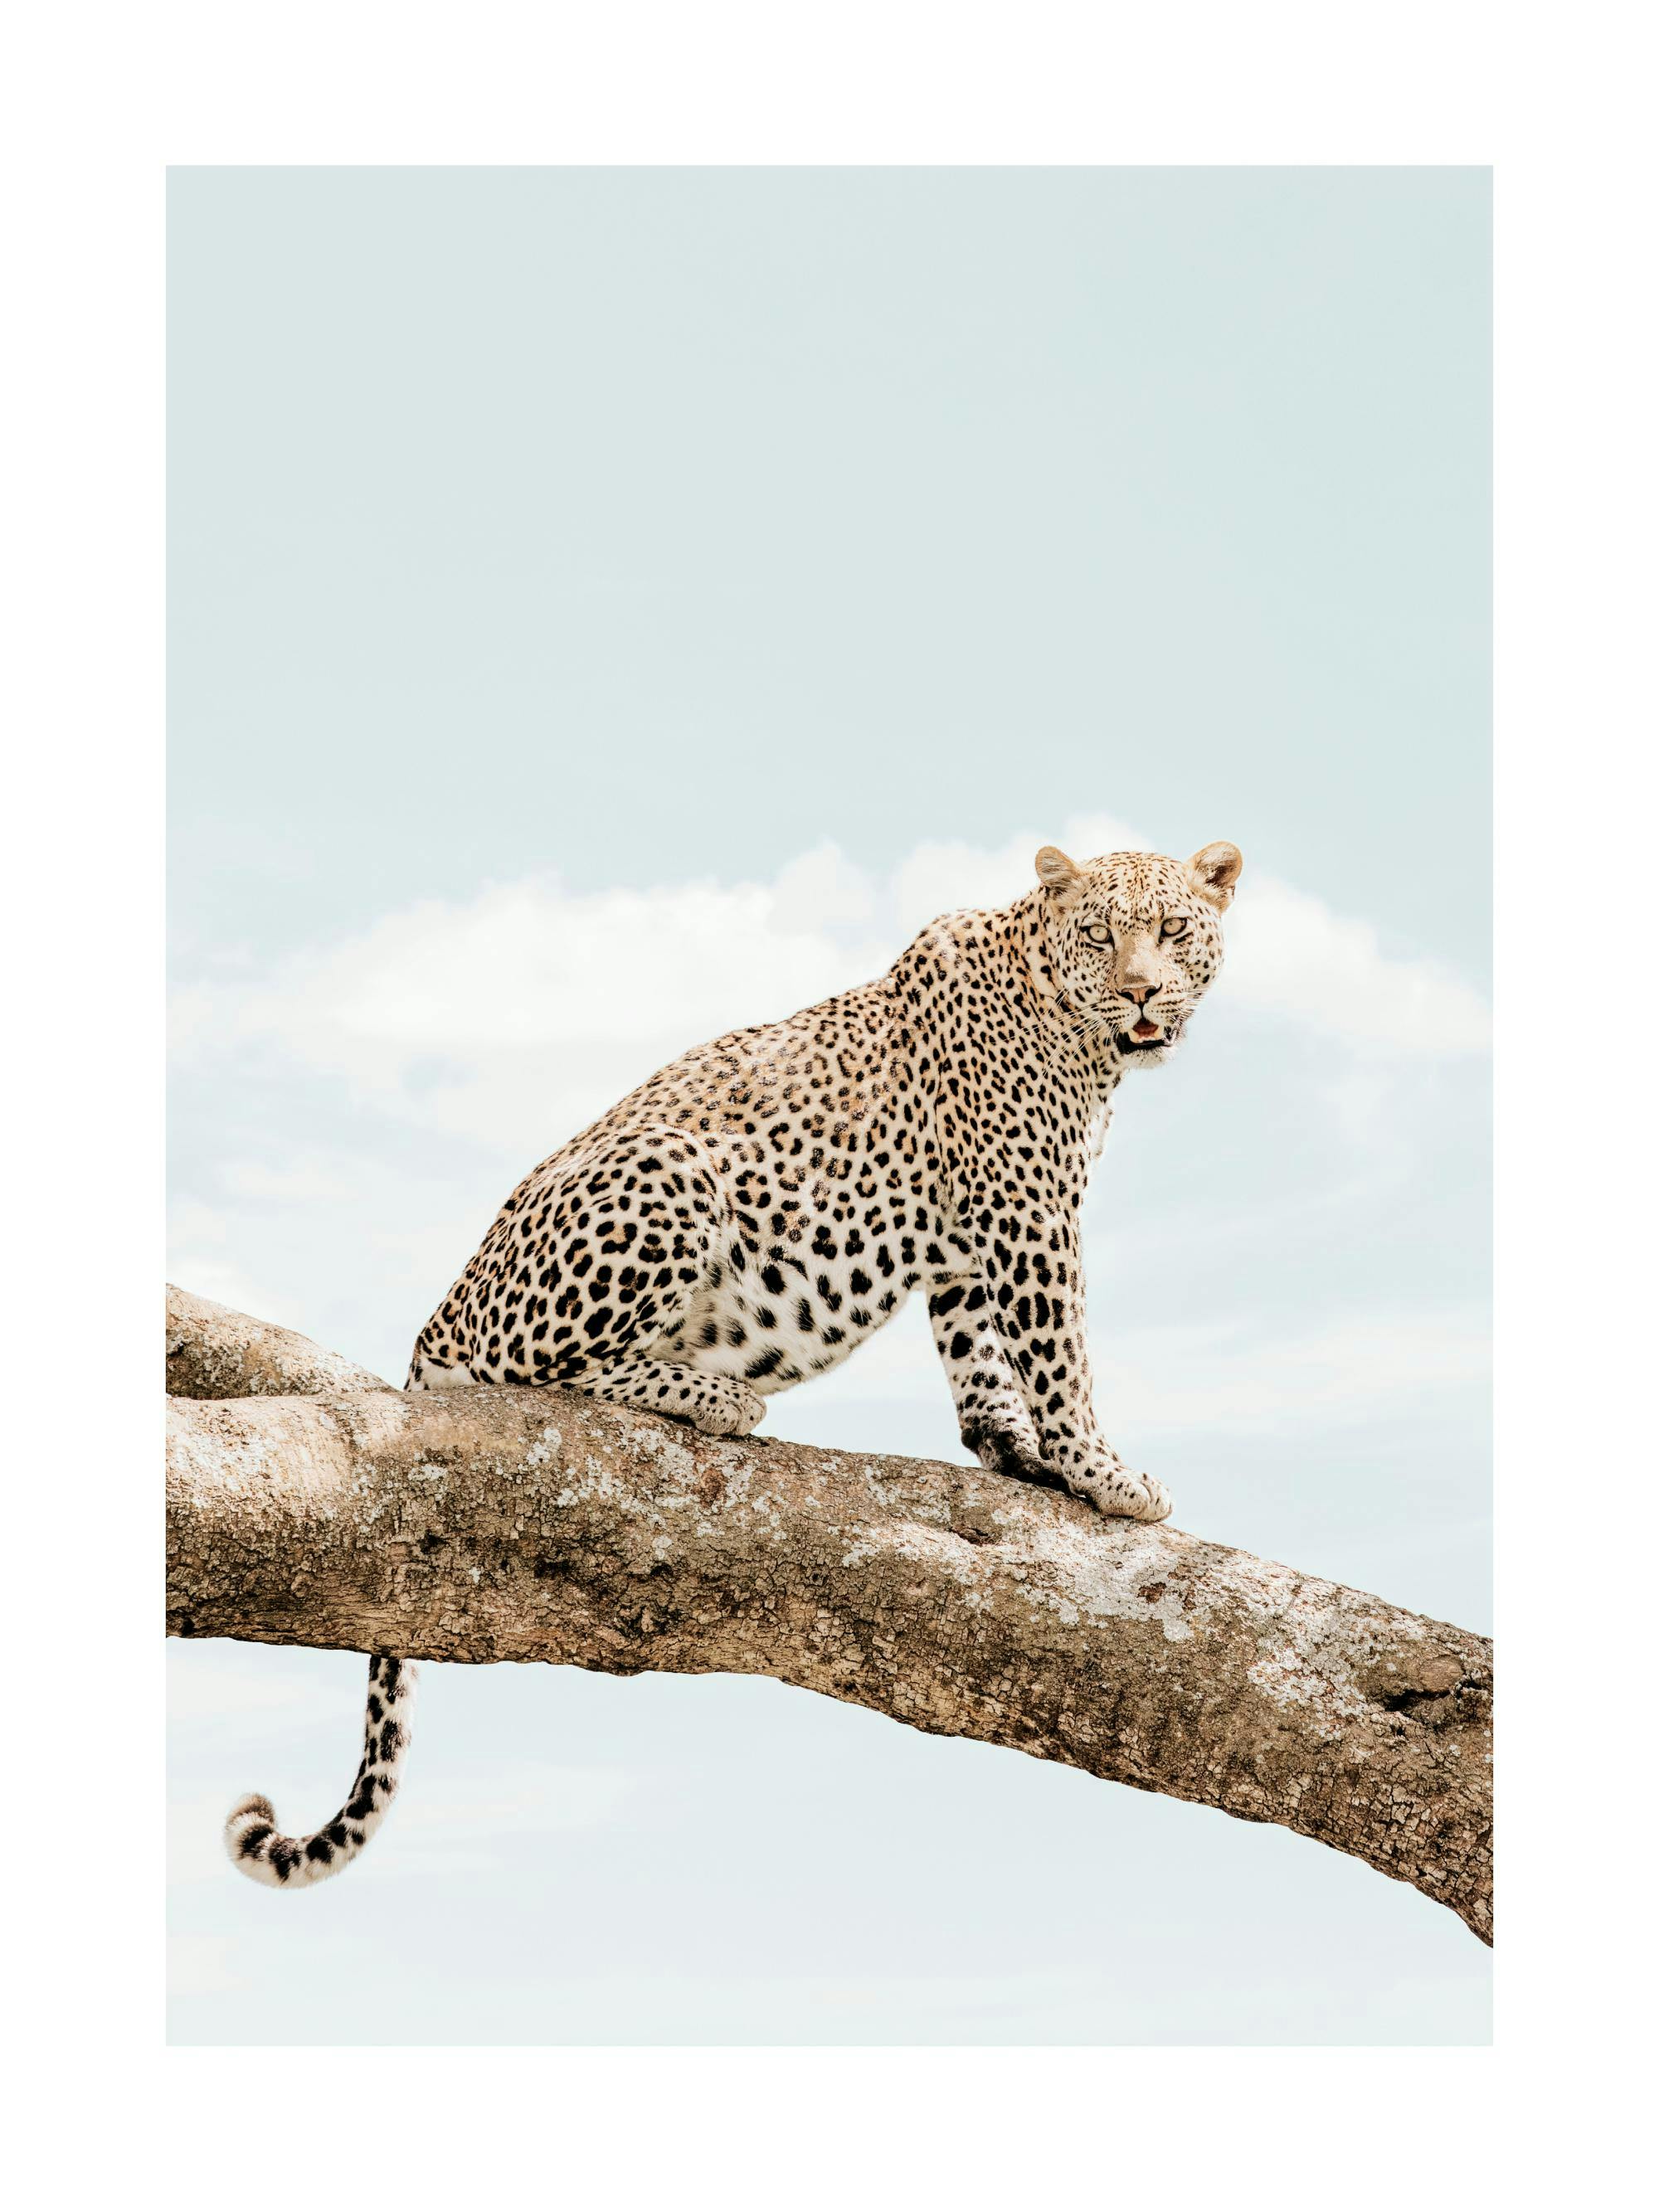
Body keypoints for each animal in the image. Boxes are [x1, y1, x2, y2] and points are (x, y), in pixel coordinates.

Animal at [225, 837, 1243, 1887]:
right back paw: (714, 1395)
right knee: (542, 1364)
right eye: (1099, 935)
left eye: (1170, 930)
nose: (1138, 991)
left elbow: (978, 1362)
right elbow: (1058, 1350)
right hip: (668, 1172)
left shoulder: (969, 1241)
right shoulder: (1028, 1215)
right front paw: (1104, 1472)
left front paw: (1017, 1454)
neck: (1073, 1029)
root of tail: (433, 1331)